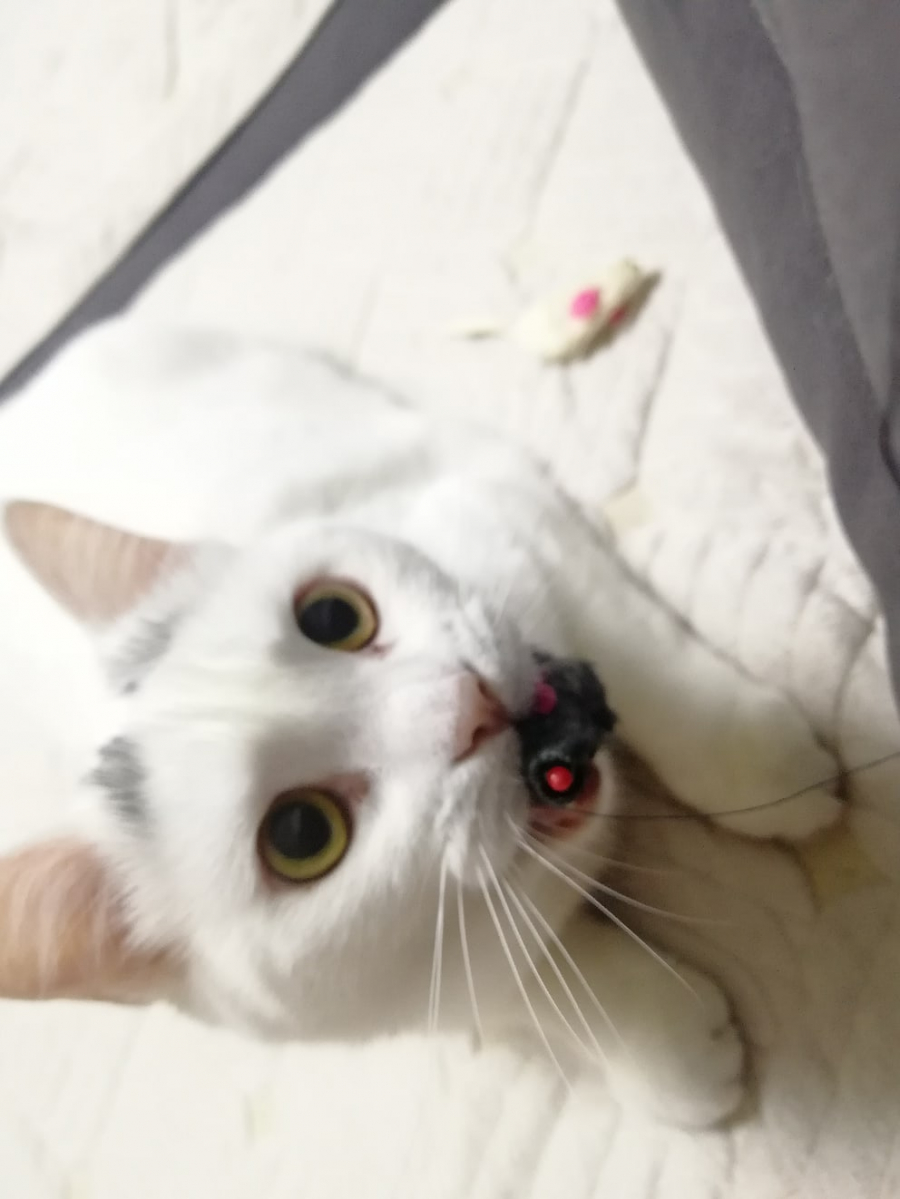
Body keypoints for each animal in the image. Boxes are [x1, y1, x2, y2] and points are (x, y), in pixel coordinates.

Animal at [0, 320, 841, 1129]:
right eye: (302, 834)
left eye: (332, 614)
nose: (471, 701)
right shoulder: (420, 1001)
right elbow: (536, 987)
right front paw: (669, 1050)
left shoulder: (500, 519)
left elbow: (650, 669)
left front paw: (765, 766)